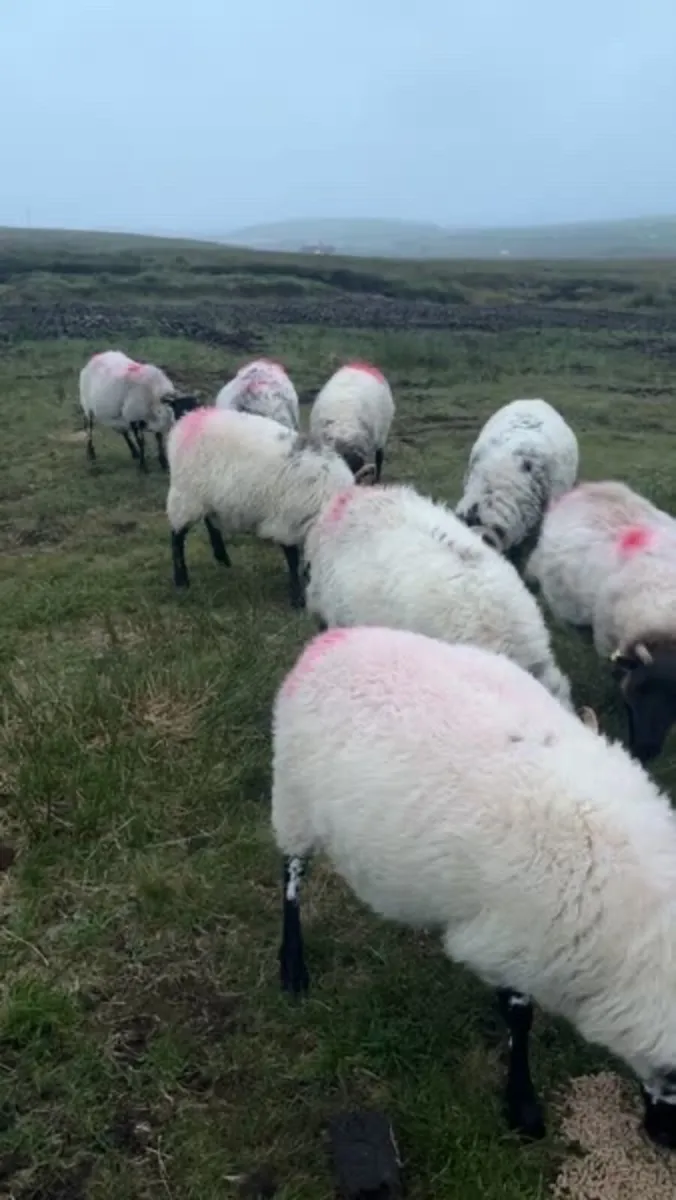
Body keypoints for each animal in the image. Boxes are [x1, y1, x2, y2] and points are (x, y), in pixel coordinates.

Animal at [165, 406, 375, 607]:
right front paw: (297, 599)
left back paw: (222, 558)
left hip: (208, 498)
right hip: (185, 495)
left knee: (210, 522)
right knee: (177, 536)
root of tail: (190, 418)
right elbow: (293, 557)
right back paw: (181, 580)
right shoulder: (289, 522)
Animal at [272, 624, 676, 1150]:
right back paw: (292, 967)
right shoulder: (515, 942)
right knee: (291, 876)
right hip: (292, 795)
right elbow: (520, 1017)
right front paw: (522, 1107)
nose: (668, 1138)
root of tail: (333, 640)